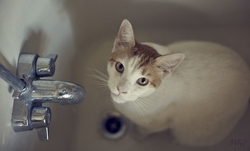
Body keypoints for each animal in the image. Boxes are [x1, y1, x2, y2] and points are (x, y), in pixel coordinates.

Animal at [106, 19, 250, 146]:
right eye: (120, 67)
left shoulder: (157, 124)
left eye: (142, 81)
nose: (120, 89)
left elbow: (146, 130)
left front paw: (137, 135)